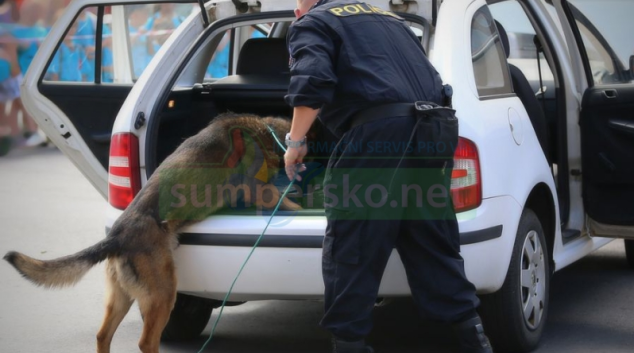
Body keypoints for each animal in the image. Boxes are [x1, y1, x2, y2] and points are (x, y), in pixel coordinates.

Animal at [3, 113, 304, 352]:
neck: (264, 131)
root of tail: (116, 237)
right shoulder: (259, 190)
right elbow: (286, 201)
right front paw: (300, 206)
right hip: (163, 295)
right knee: (146, 342)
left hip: (122, 298)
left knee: (102, 336)